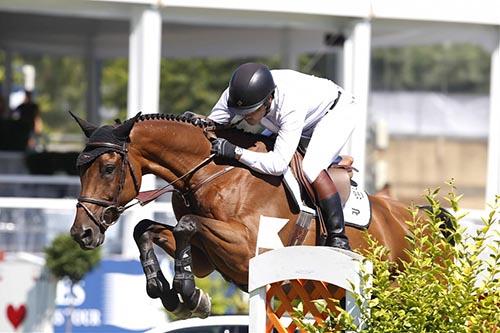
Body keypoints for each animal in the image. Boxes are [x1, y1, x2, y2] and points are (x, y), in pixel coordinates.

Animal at [67, 112, 430, 320]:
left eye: (108, 168)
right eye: (79, 169)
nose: (81, 233)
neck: (211, 172)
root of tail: (425, 217)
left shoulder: (246, 250)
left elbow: (188, 224)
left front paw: (187, 291)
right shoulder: (206, 257)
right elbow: (145, 228)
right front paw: (166, 289)